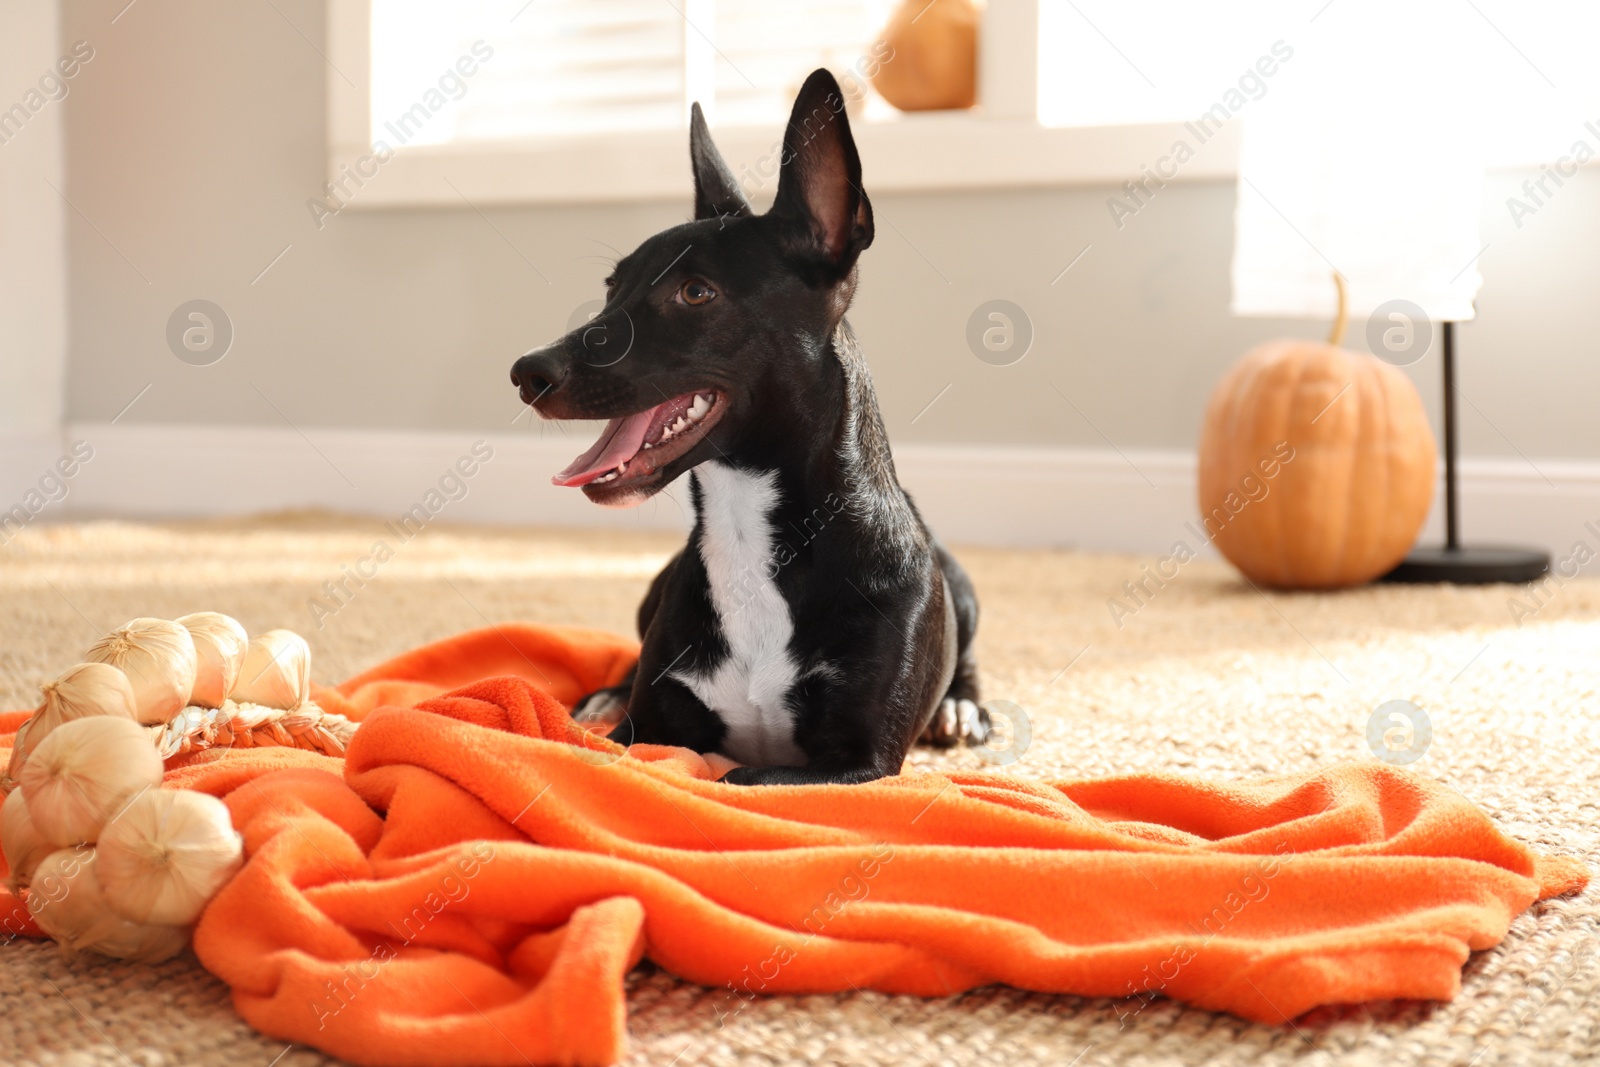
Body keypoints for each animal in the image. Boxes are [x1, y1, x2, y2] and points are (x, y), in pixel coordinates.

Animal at [518, 68, 979, 783]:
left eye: (695, 293)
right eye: (611, 288)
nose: (526, 372)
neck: (748, 528)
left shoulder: (861, 764)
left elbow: (739, 777)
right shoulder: (640, 732)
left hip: (962, 588)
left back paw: (961, 705)